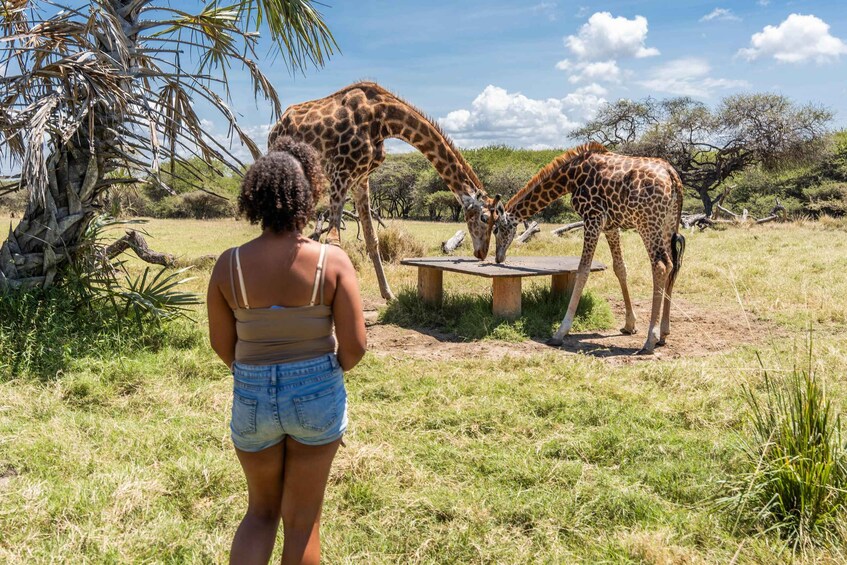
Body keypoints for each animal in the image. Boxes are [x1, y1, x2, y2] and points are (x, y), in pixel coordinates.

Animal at [268, 82, 496, 300]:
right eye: (485, 218)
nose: (482, 253)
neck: (384, 119)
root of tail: (274, 130)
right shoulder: (341, 172)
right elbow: (334, 241)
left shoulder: (360, 179)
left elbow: (371, 238)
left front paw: (388, 294)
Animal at [492, 142, 686, 354]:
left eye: (496, 229)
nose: (498, 258)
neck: (571, 176)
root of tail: (672, 175)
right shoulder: (610, 225)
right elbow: (620, 268)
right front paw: (629, 324)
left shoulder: (592, 217)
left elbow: (583, 270)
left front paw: (560, 332)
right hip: (668, 223)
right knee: (672, 266)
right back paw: (664, 333)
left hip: (647, 222)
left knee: (660, 265)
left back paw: (650, 340)